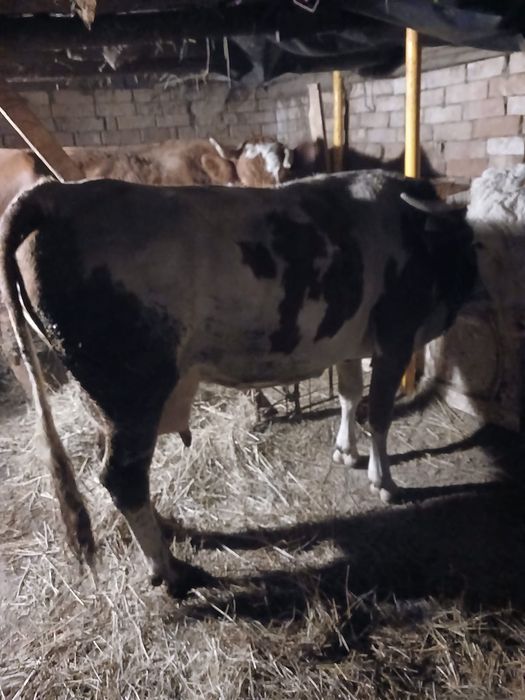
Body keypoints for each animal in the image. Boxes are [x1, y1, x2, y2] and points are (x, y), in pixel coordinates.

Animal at [0, 170, 478, 598]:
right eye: (467, 238)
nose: (473, 289)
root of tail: (56, 194)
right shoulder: (396, 336)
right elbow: (378, 413)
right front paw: (386, 483)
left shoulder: (350, 342)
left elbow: (348, 394)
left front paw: (346, 451)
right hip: (132, 394)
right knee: (123, 477)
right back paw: (172, 572)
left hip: (104, 401)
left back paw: (169, 530)